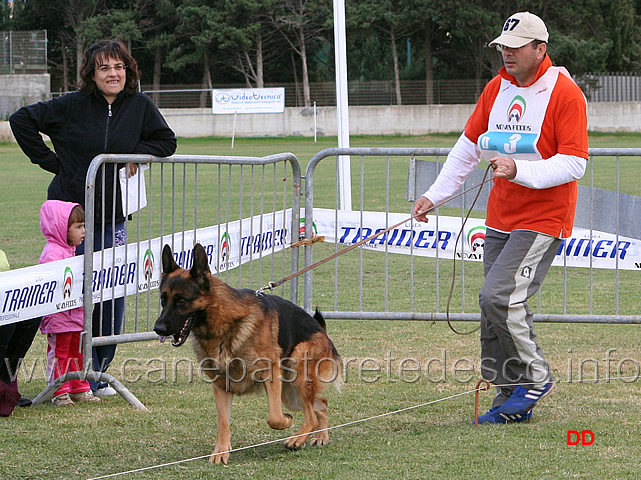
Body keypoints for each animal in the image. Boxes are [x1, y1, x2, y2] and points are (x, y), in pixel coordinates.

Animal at [153, 244, 342, 464]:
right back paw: (321, 436)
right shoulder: (221, 385)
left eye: (181, 300)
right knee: (321, 404)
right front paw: (221, 451)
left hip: (296, 375)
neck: (223, 322)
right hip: (290, 393)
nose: (158, 329)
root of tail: (322, 332)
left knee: (311, 414)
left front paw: (286, 421)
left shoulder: (271, 374)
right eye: (163, 300)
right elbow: (223, 423)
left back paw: (297, 439)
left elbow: (274, 417)